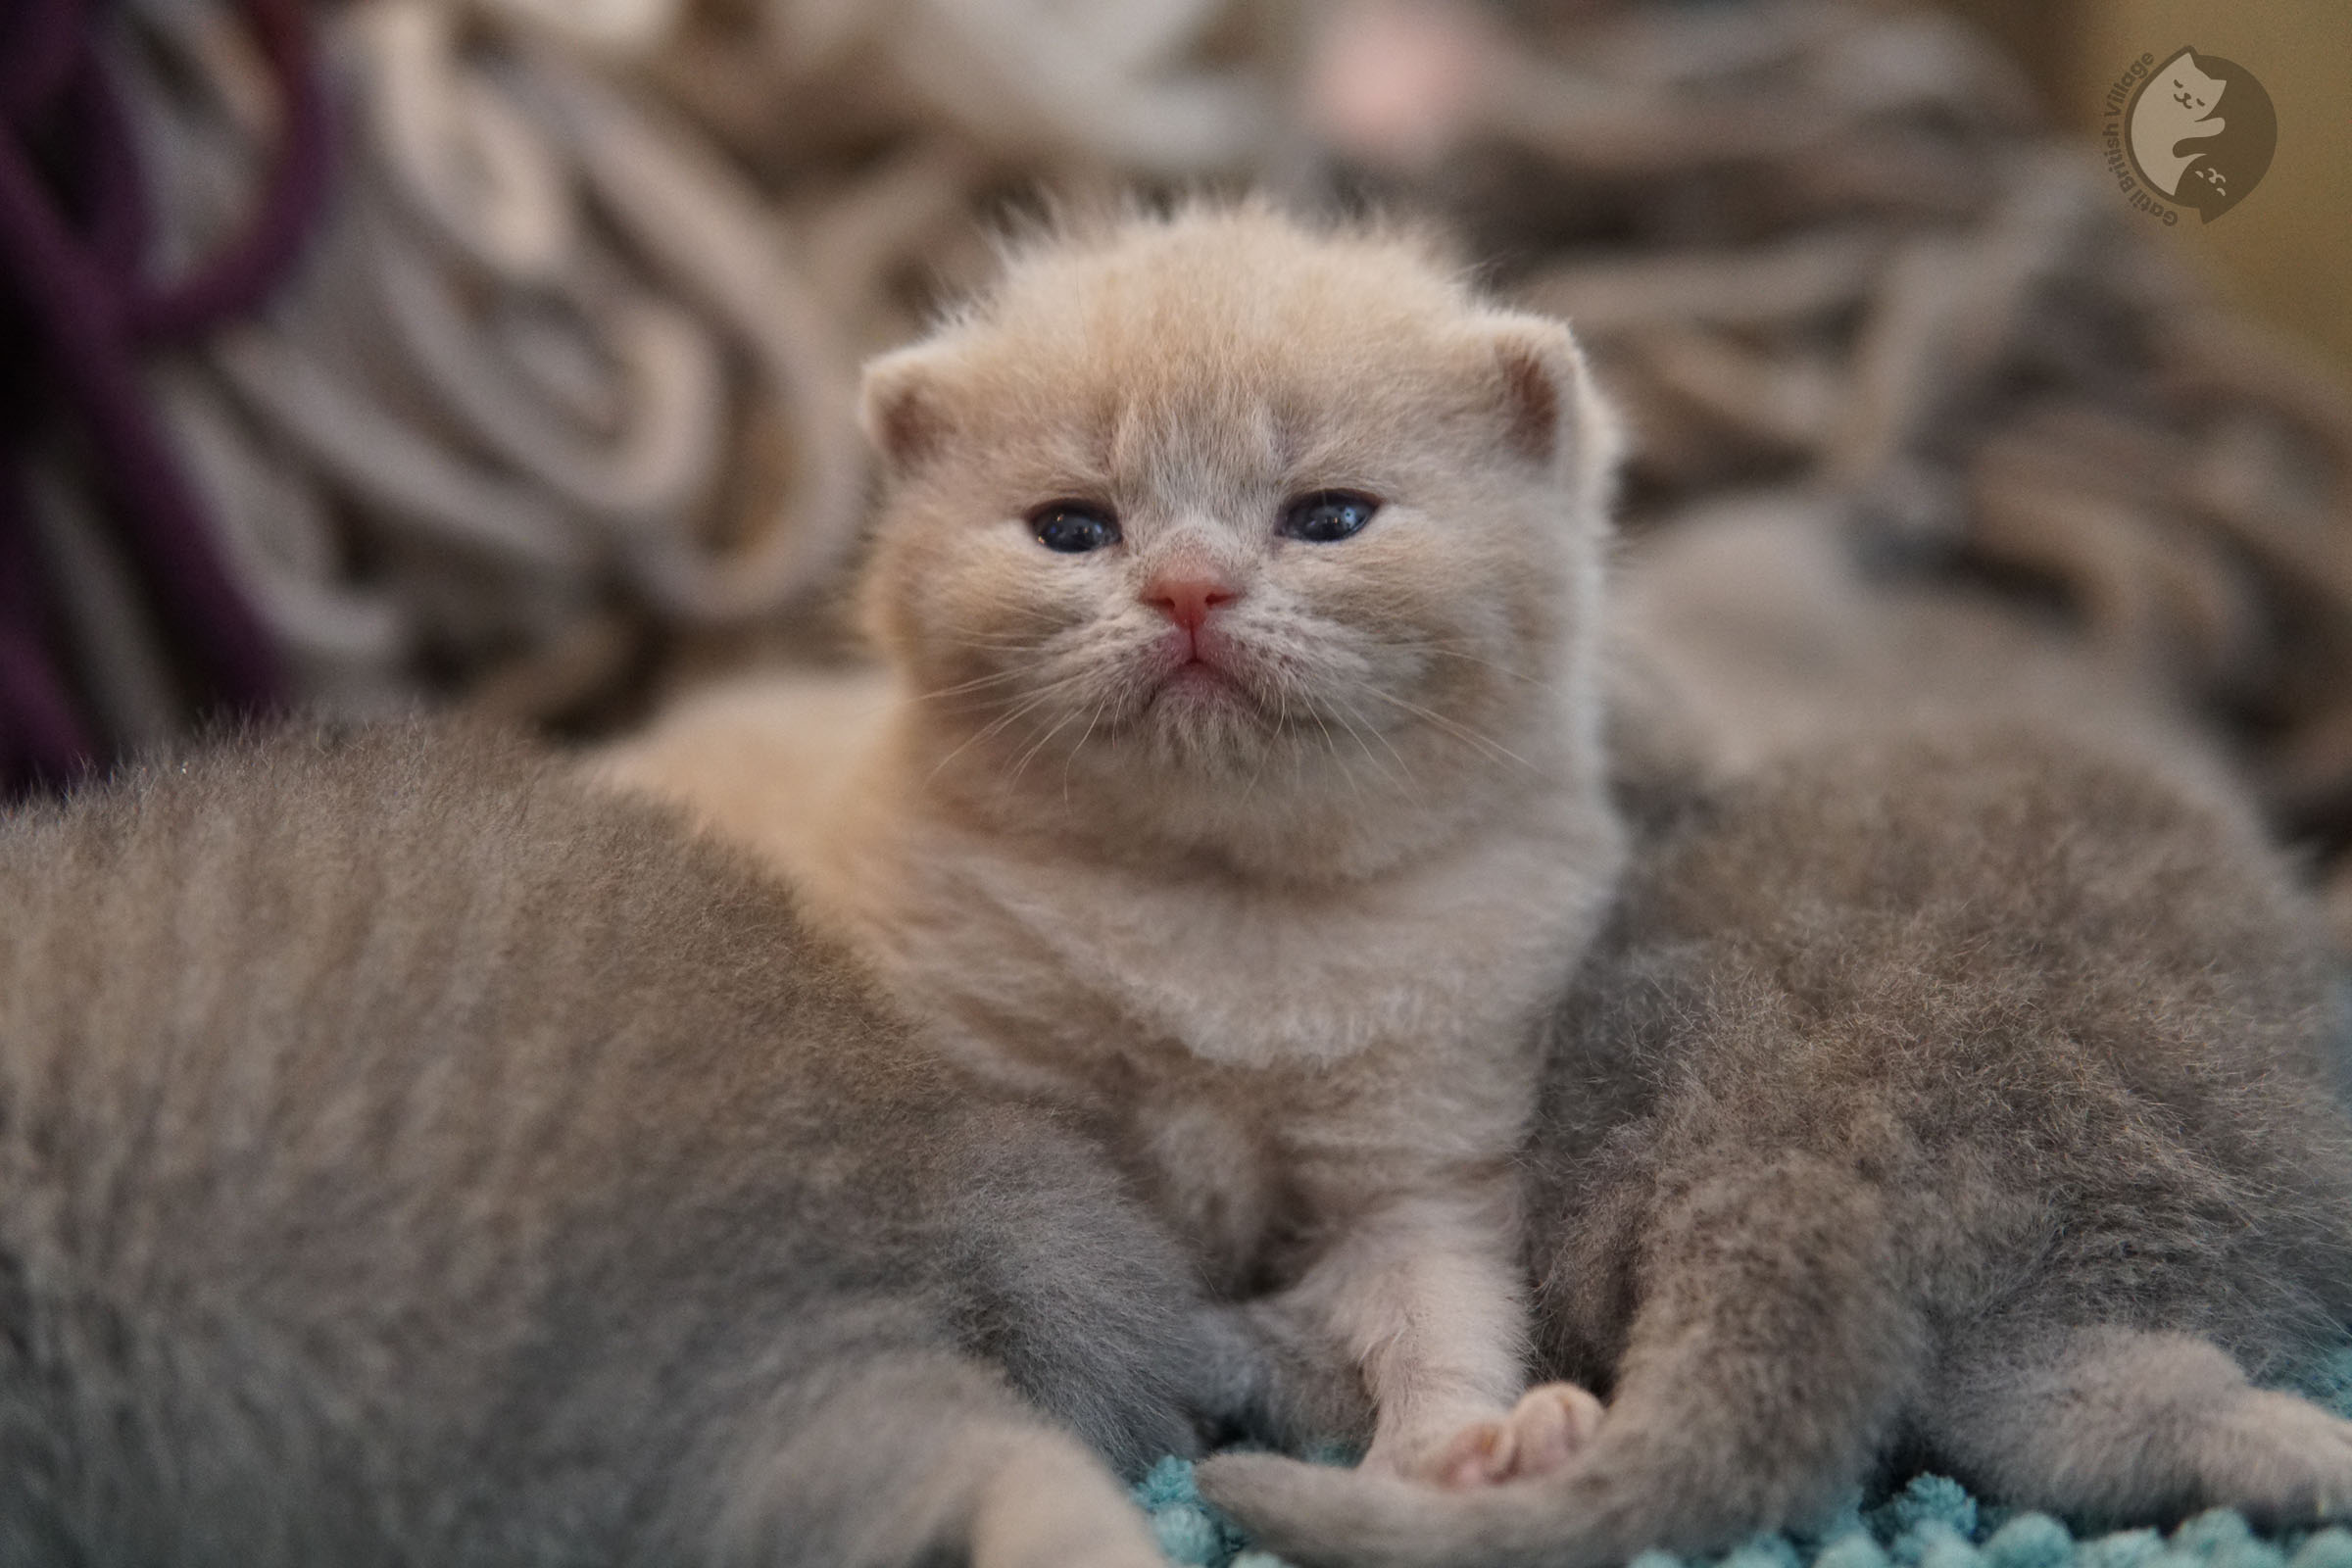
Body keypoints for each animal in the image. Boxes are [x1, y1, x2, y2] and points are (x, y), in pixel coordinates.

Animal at [597, 202, 1627, 1494]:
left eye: (1331, 517)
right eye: (1073, 528)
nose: (1188, 585)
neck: (1221, 906)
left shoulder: (1421, 1143)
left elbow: (1440, 1306)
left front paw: (1466, 1447)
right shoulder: (986, 1095)